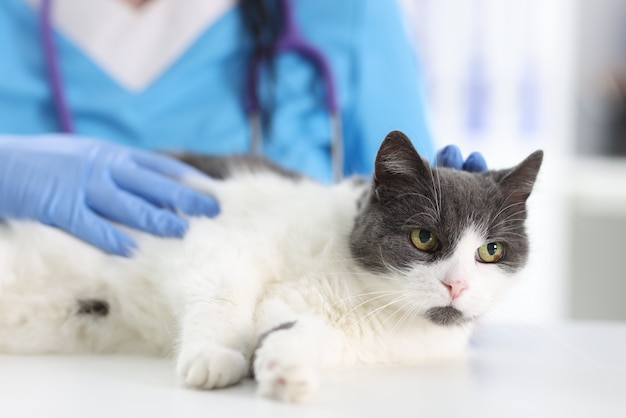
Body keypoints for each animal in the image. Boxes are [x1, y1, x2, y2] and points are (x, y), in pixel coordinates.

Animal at [0, 131, 540, 402]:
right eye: (424, 238)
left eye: (490, 251)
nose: (456, 285)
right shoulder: (213, 238)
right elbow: (222, 286)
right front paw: (215, 355)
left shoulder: (348, 333)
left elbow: (295, 329)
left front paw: (285, 367)